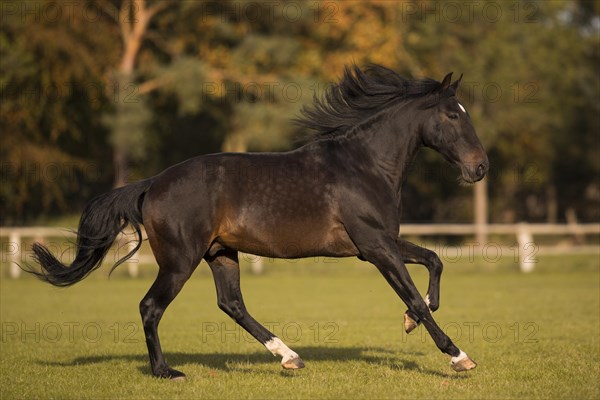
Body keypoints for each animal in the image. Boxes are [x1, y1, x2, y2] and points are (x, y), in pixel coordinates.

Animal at [27, 63, 488, 382]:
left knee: (231, 304)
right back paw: (167, 371)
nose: (480, 168)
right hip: (180, 261)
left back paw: (290, 357)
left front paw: (410, 321)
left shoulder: (379, 243)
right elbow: (414, 293)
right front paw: (459, 356)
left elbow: (433, 262)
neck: (365, 166)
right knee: (151, 306)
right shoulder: (375, 247)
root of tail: (152, 184)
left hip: (221, 253)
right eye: (452, 116)